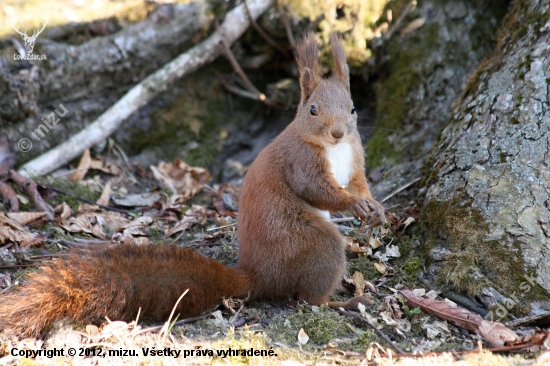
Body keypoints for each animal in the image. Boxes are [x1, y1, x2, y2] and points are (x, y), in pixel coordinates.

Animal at [0, 32, 386, 338]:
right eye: (313, 110)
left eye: (353, 108)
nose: (337, 132)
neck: (334, 149)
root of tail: (258, 275)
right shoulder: (301, 163)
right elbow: (317, 190)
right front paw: (352, 205)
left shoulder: (355, 158)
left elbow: (358, 182)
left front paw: (375, 208)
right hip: (316, 246)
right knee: (307, 298)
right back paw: (343, 301)